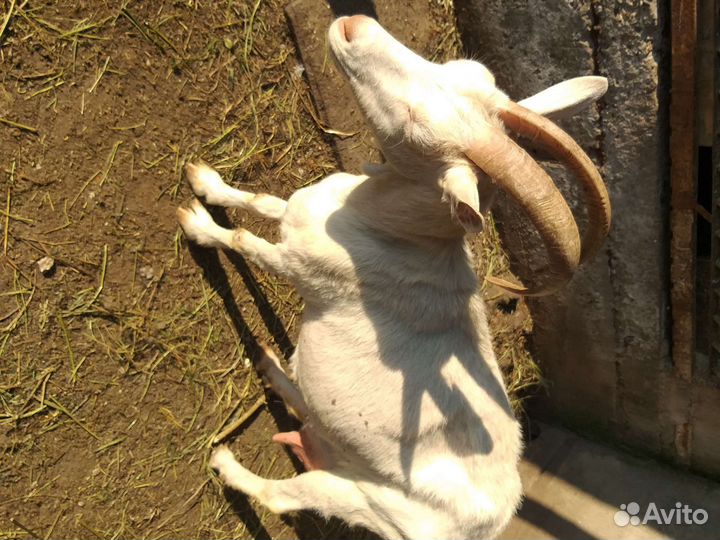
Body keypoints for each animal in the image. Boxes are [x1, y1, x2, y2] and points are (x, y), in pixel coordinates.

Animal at [177, 15, 610, 540]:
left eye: (412, 121)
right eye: (457, 67)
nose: (352, 24)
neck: (395, 233)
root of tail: (494, 520)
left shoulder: (297, 265)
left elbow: (242, 239)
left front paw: (196, 223)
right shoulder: (297, 214)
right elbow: (261, 202)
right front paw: (204, 182)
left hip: (361, 499)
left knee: (284, 496)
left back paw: (224, 458)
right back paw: (268, 363)